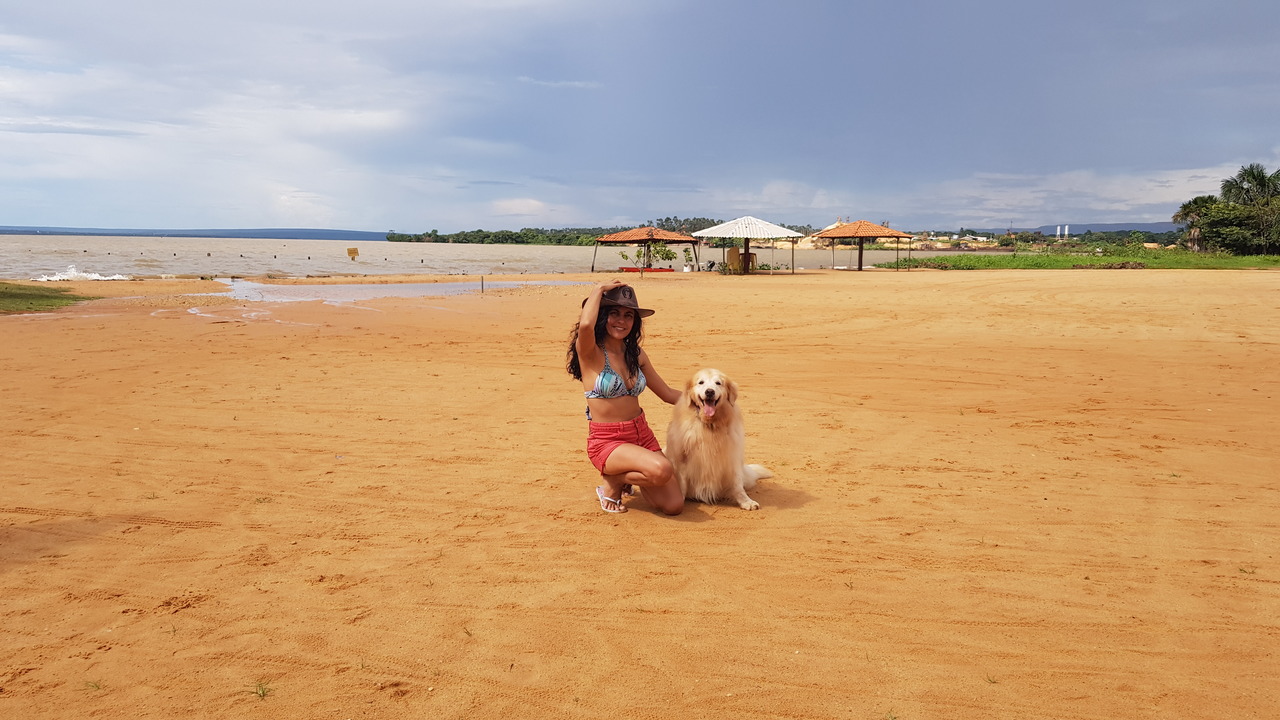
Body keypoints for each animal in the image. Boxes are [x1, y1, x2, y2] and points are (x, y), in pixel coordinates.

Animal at [670, 366, 768, 507]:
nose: (709, 392)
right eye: (701, 382)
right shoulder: (681, 457)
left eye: (718, 383)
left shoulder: (732, 457)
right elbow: (681, 484)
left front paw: (746, 501)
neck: (709, 423)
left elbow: (737, 485)